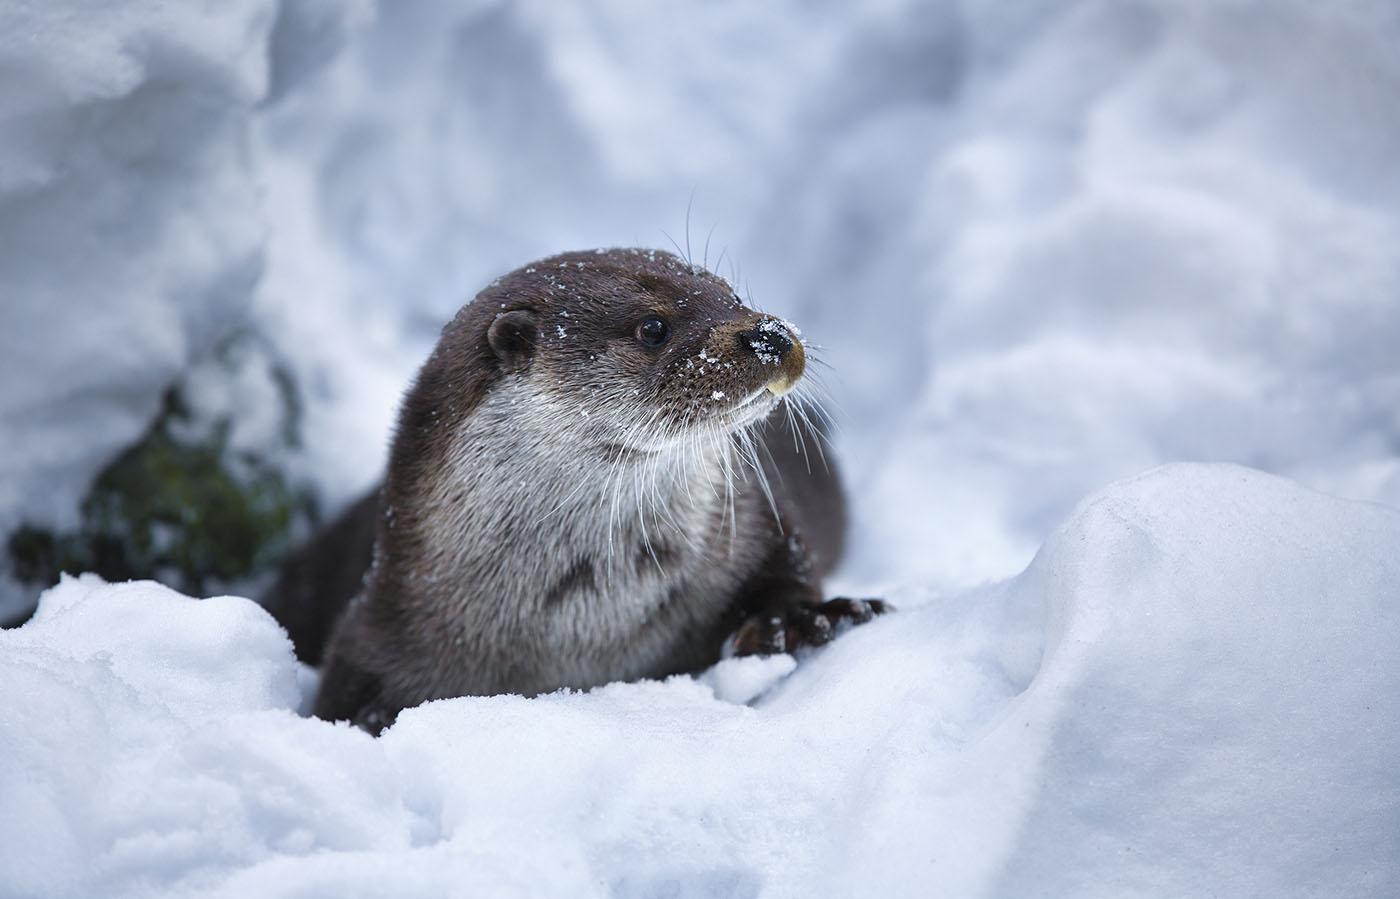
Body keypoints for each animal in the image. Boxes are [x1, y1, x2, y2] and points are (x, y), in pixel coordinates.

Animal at [261, 248, 884, 733]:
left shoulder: (755, 522)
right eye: (652, 327)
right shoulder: (382, 626)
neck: (591, 620)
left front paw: (803, 619)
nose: (770, 334)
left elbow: (788, 564)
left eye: (731, 293)